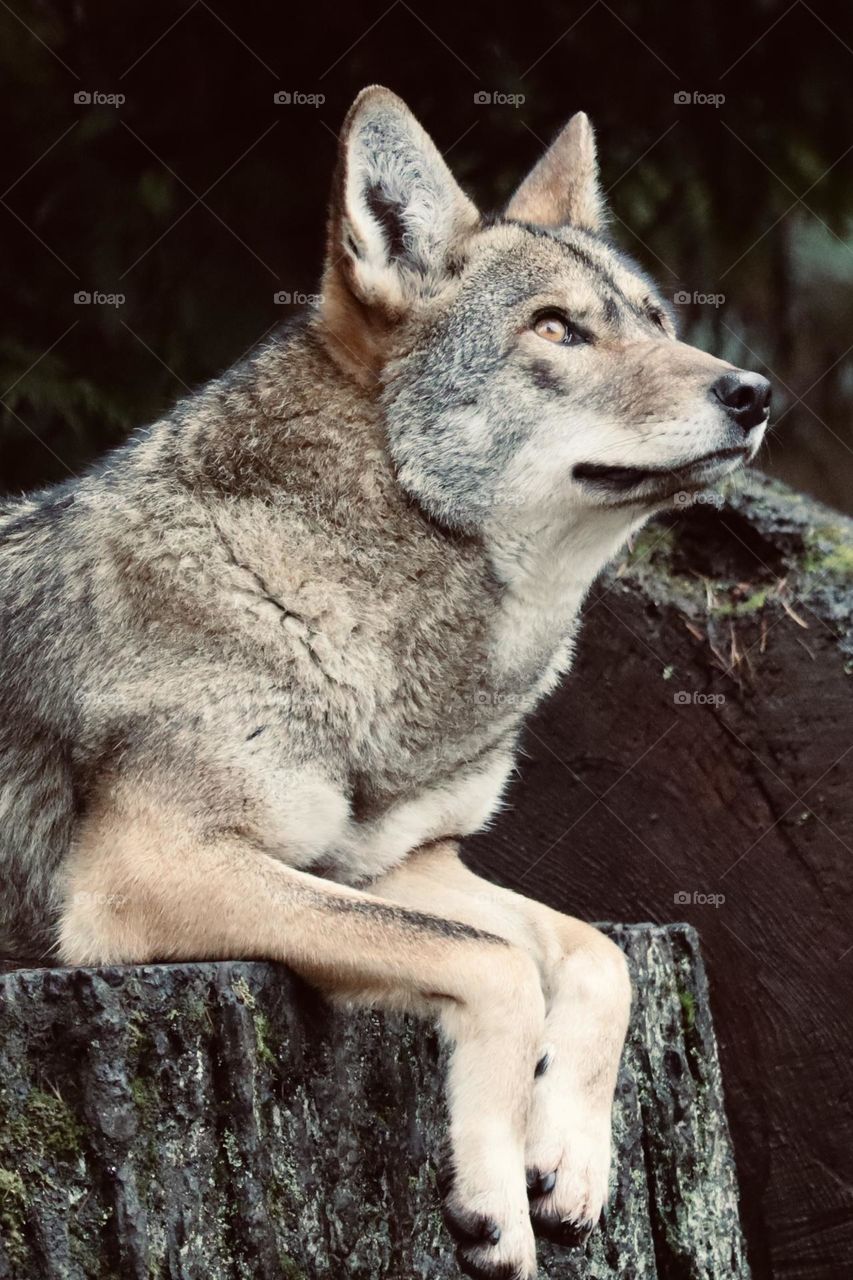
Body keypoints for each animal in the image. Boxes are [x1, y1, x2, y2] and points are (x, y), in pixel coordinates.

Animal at [0, 90, 768, 1280]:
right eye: (556, 328)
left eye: (652, 319)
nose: (753, 393)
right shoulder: (146, 873)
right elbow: (495, 966)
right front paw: (493, 1194)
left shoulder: (399, 862)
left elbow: (594, 954)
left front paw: (567, 1153)